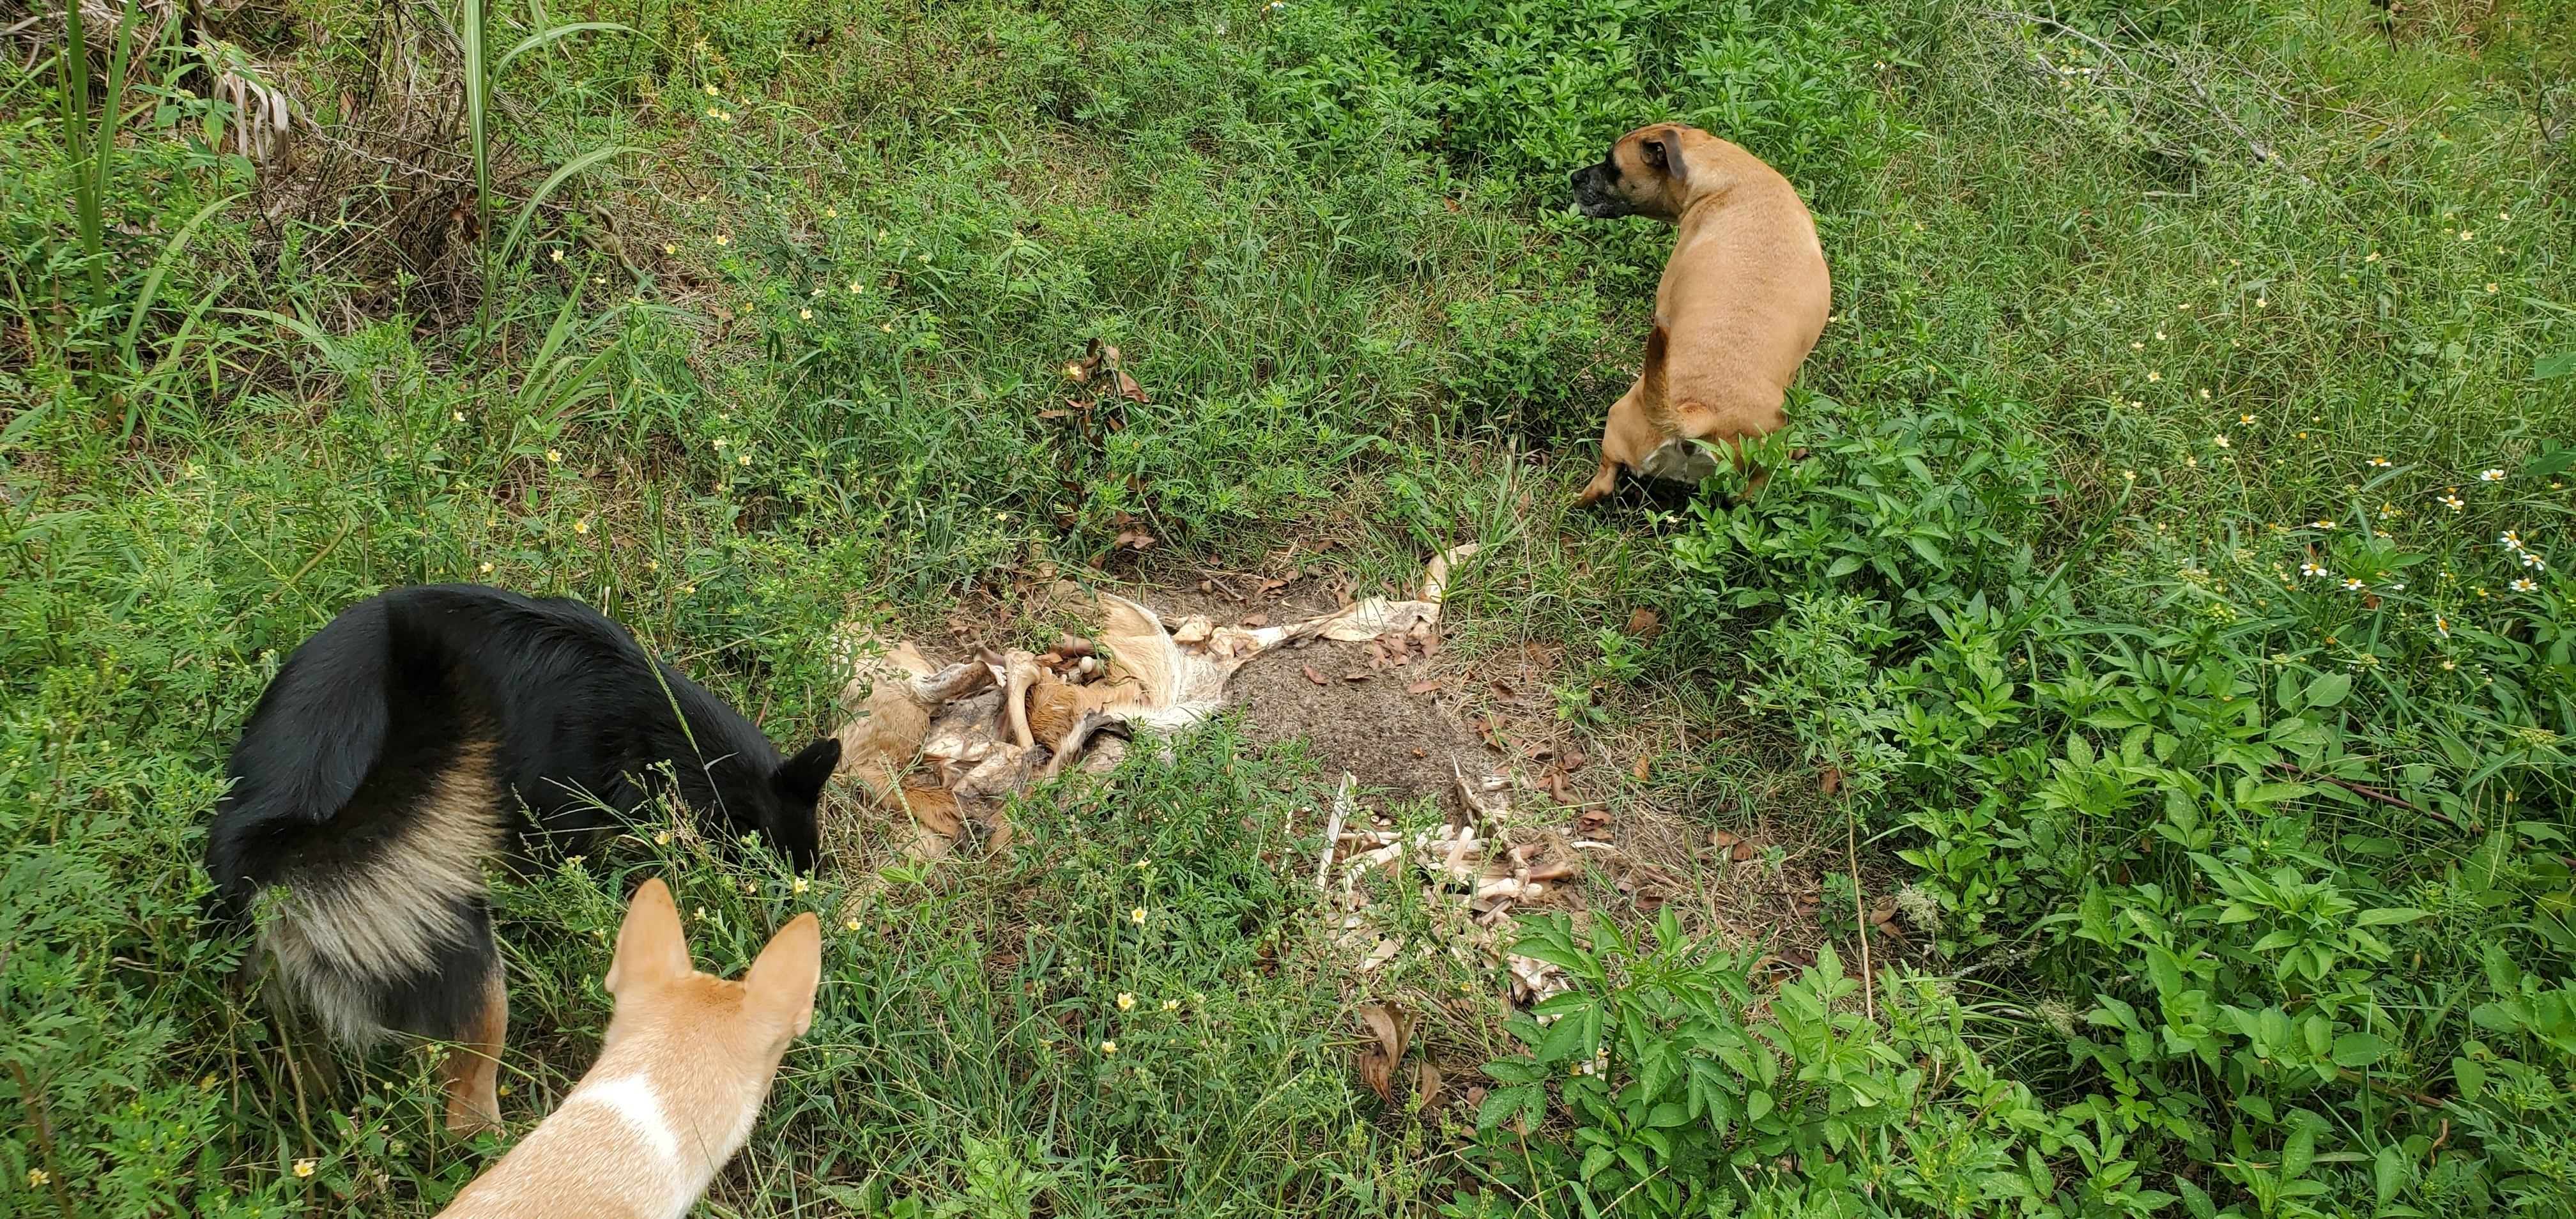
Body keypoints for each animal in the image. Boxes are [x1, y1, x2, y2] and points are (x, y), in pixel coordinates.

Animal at [1566, 121, 1834, 502]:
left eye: (1612, 165)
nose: (1575, 177)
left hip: (1620, 419)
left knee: (1604, 480)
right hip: (1750, 486)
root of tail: (1701, 412)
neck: (1727, 178)